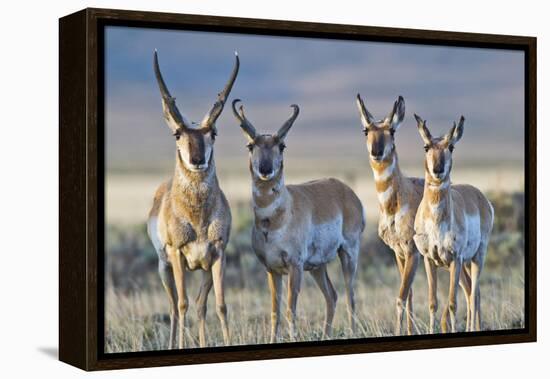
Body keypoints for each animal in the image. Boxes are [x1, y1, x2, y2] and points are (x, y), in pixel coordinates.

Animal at [148, 50, 240, 350]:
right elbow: (183, 304)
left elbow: (219, 305)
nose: (197, 159)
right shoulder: (177, 254)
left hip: (201, 270)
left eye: (213, 133)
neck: (197, 218)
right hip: (164, 267)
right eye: (178, 133)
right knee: (174, 307)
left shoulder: (218, 254)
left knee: (200, 305)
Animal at [233, 99, 366, 342]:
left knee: (351, 296)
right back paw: (325, 336)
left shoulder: (295, 266)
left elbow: (290, 309)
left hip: (348, 254)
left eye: (282, 145)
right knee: (332, 296)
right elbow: (275, 311)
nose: (266, 169)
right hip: (317, 266)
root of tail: (346, 191)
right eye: (250, 145)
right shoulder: (272, 270)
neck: (275, 220)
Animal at [356, 95, 424, 336]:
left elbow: (401, 297)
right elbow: (409, 294)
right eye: (366, 130)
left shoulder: (412, 252)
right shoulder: (399, 253)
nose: (376, 152)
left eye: (392, 130)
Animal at [414, 114, 496, 334]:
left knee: (474, 294)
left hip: (476, 258)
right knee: (471, 292)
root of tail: (480, 197)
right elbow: (433, 302)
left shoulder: (455, 258)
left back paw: (473, 329)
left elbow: (452, 303)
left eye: (451, 146)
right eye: (426, 146)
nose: (438, 169)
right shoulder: (429, 260)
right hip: (463, 266)